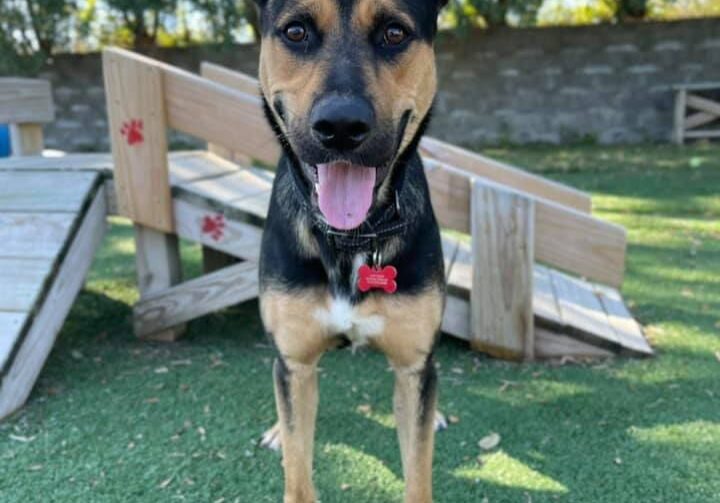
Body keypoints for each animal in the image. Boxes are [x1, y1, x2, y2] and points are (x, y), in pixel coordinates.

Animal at [252, 1, 444, 502]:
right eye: (295, 31)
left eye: (394, 33)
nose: (340, 126)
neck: (352, 238)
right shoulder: (295, 361)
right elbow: (298, 473)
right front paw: (285, 438)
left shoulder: (413, 365)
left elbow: (418, 471)